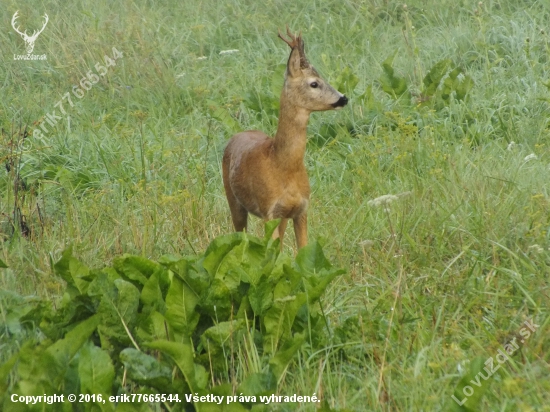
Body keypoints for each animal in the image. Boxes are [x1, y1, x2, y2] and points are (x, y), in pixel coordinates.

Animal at [221, 27, 348, 251]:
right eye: (314, 83)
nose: (343, 98)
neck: (282, 166)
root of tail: (239, 134)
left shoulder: (300, 210)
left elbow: (301, 252)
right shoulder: (268, 210)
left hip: (281, 217)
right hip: (234, 200)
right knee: (239, 235)